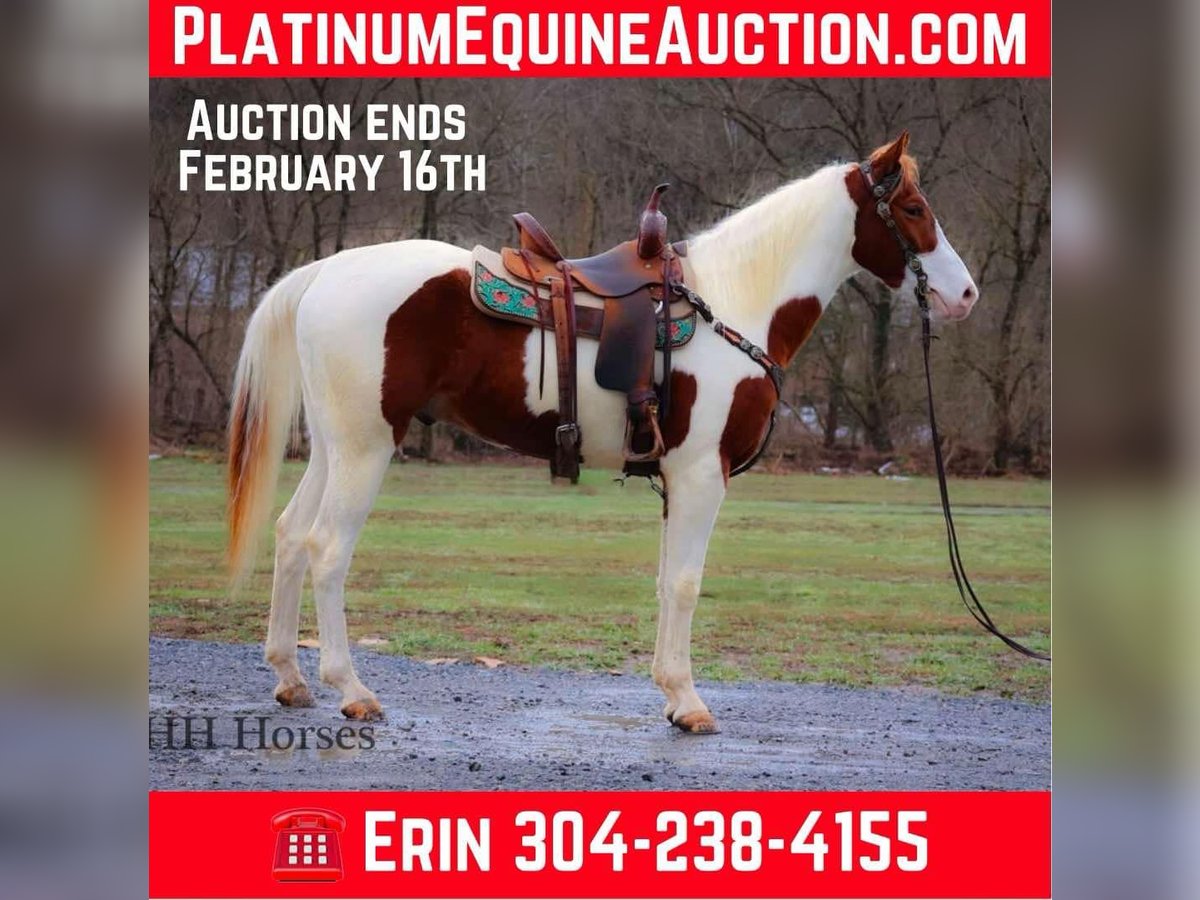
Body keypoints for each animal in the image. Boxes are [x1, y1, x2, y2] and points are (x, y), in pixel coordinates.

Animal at [226, 131, 978, 733]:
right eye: (914, 210)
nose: (965, 294)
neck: (734, 303)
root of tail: (326, 271)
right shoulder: (700, 476)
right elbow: (686, 583)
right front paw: (690, 703)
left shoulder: (677, 480)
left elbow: (667, 580)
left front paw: (672, 695)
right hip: (366, 450)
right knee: (327, 550)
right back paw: (351, 689)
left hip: (335, 449)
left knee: (291, 535)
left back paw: (290, 678)